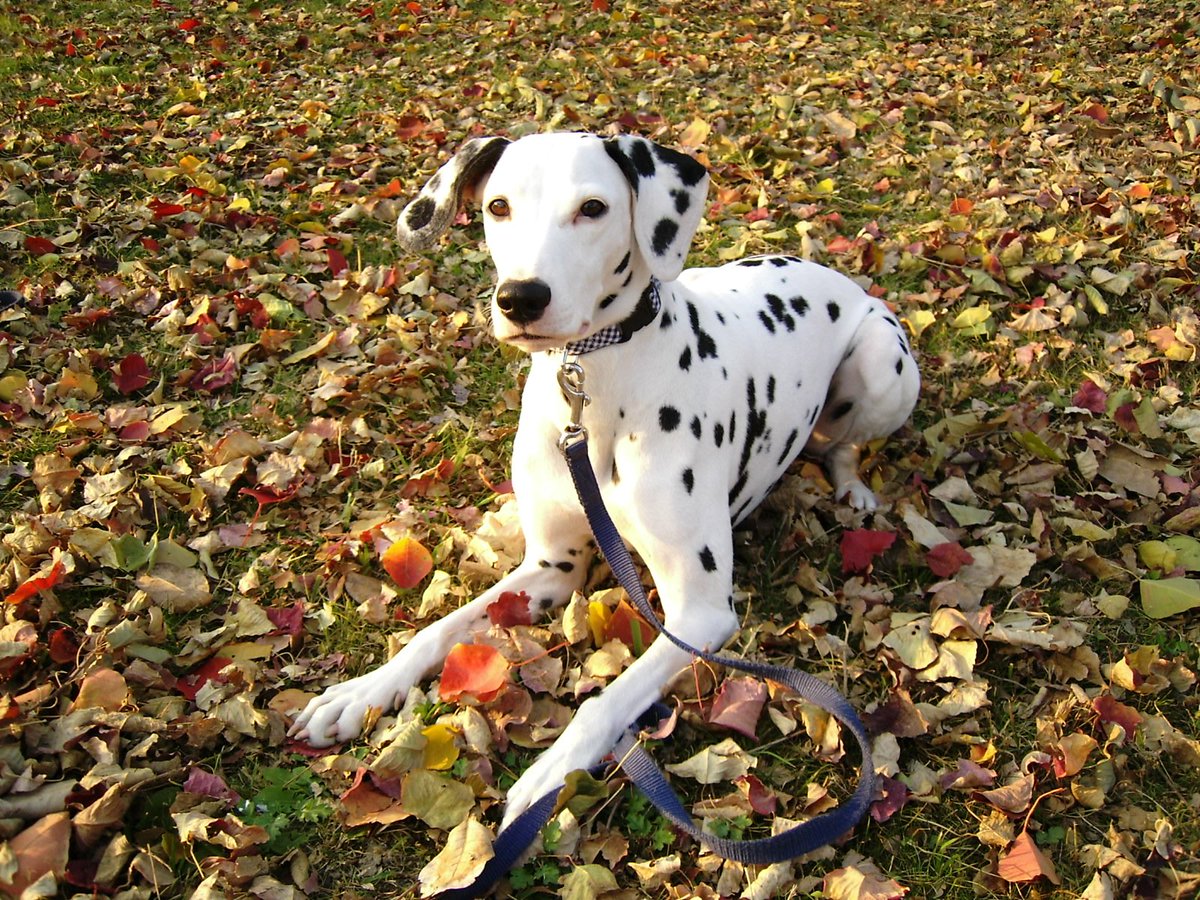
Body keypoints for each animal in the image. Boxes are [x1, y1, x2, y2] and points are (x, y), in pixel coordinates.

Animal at [290, 132, 916, 830]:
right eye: (498, 206)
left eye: (593, 208)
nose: (521, 298)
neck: (594, 387)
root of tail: (839, 277)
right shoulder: (549, 567)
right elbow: (441, 628)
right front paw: (361, 691)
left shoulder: (700, 614)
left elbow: (604, 701)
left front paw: (550, 776)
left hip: (882, 360)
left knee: (845, 444)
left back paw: (852, 487)